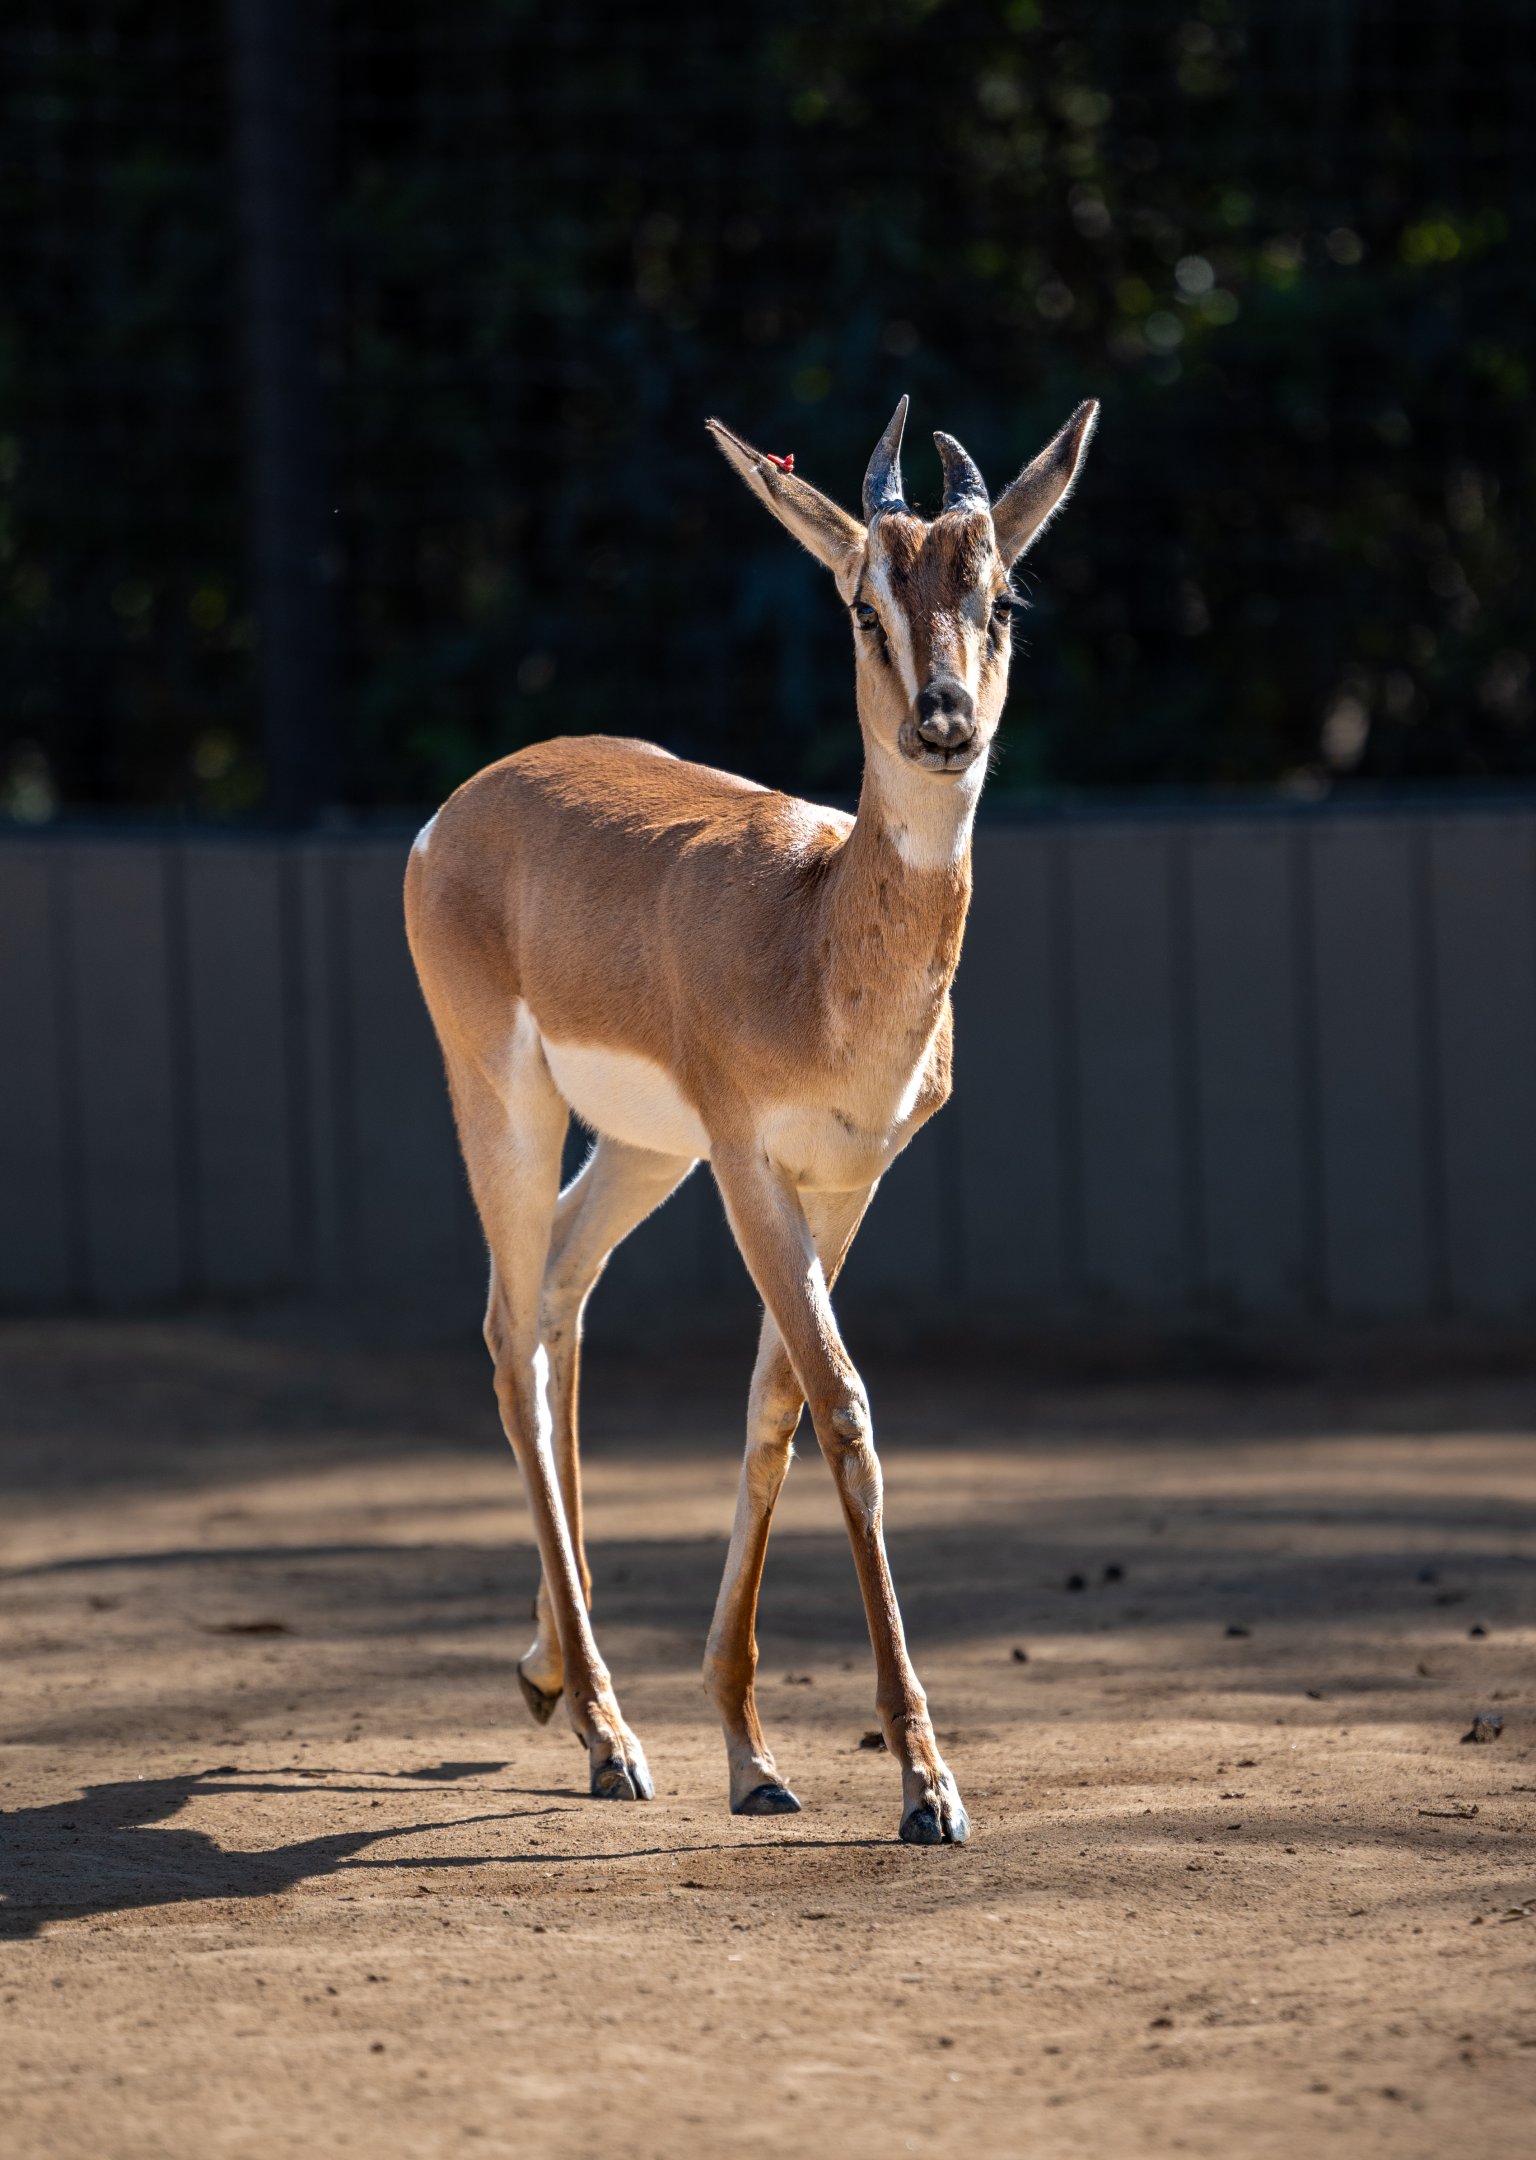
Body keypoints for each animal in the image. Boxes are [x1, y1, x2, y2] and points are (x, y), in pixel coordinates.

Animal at [404, 394, 1097, 1844]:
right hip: (509, 1103)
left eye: (1000, 594)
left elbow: (776, 1405)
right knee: (506, 1329)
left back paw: (552, 1674)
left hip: (637, 1151)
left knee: (557, 1301)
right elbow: (844, 1407)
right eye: (862, 602)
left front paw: (752, 1751)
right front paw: (925, 1786)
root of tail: (460, 808)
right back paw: (608, 1738)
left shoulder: (849, 1177)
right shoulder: (746, 1165)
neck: (815, 933)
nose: (944, 718)